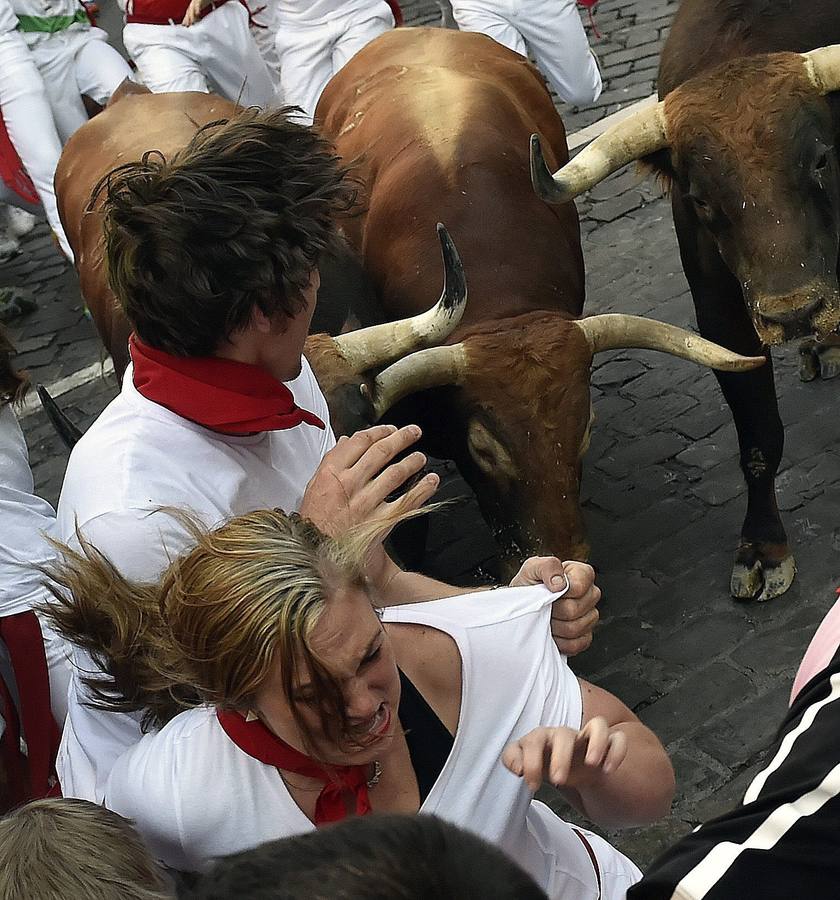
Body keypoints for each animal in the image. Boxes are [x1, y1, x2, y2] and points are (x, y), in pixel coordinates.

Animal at [528, 3, 840, 600]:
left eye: (819, 159)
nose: (793, 313)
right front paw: (763, 547)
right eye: (700, 197)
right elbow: (758, 435)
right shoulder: (724, 322)